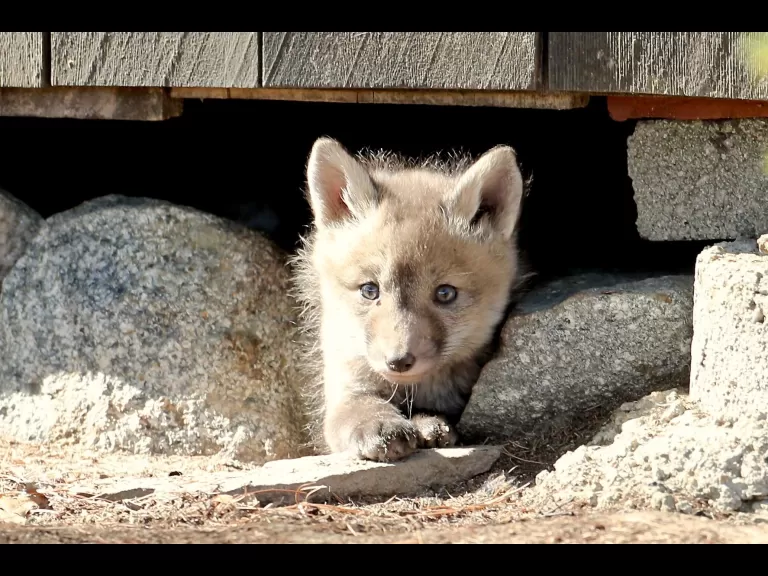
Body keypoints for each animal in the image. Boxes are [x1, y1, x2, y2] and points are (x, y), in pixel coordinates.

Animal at [290, 137, 526, 462]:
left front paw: (428, 423)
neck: (412, 390)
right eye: (369, 290)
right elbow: (358, 410)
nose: (398, 361)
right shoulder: (344, 386)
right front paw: (380, 425)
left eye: (445, 293)